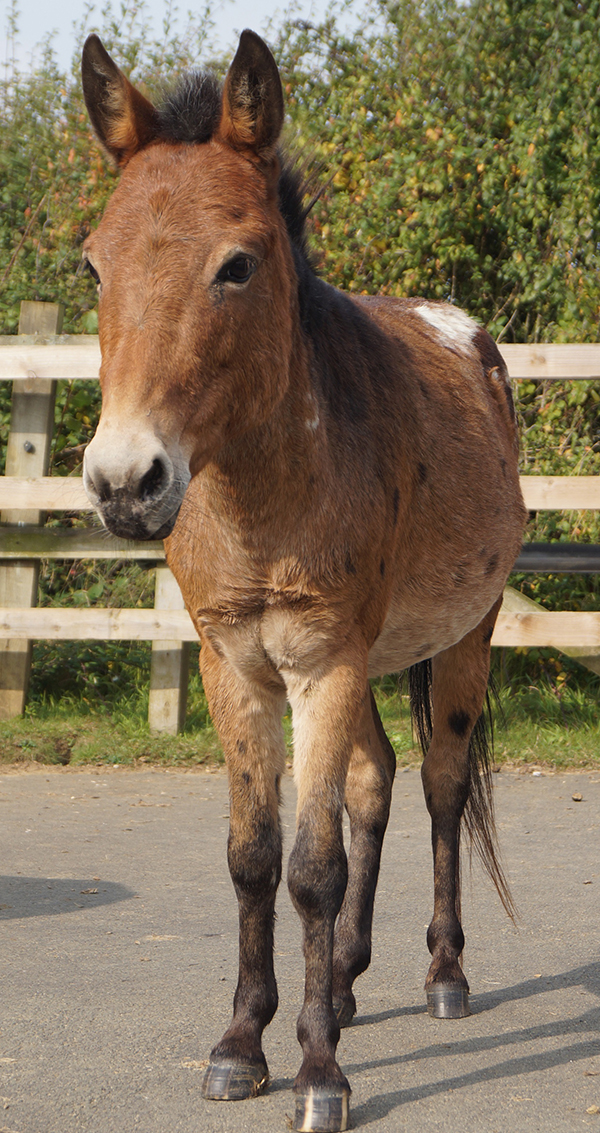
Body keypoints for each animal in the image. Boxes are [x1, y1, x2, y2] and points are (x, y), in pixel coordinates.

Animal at [80, 29, 526, 1133]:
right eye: (93, 263)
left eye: (237, 265)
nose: (124, 481)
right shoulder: (235, 664)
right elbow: (254, 852)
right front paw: (245, 1041)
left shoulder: (325, 664)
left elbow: (312, 866)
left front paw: (319, 1071)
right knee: (376, 780)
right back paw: (351, 979)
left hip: (464, 639)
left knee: (441, 785)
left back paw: (442, 974)